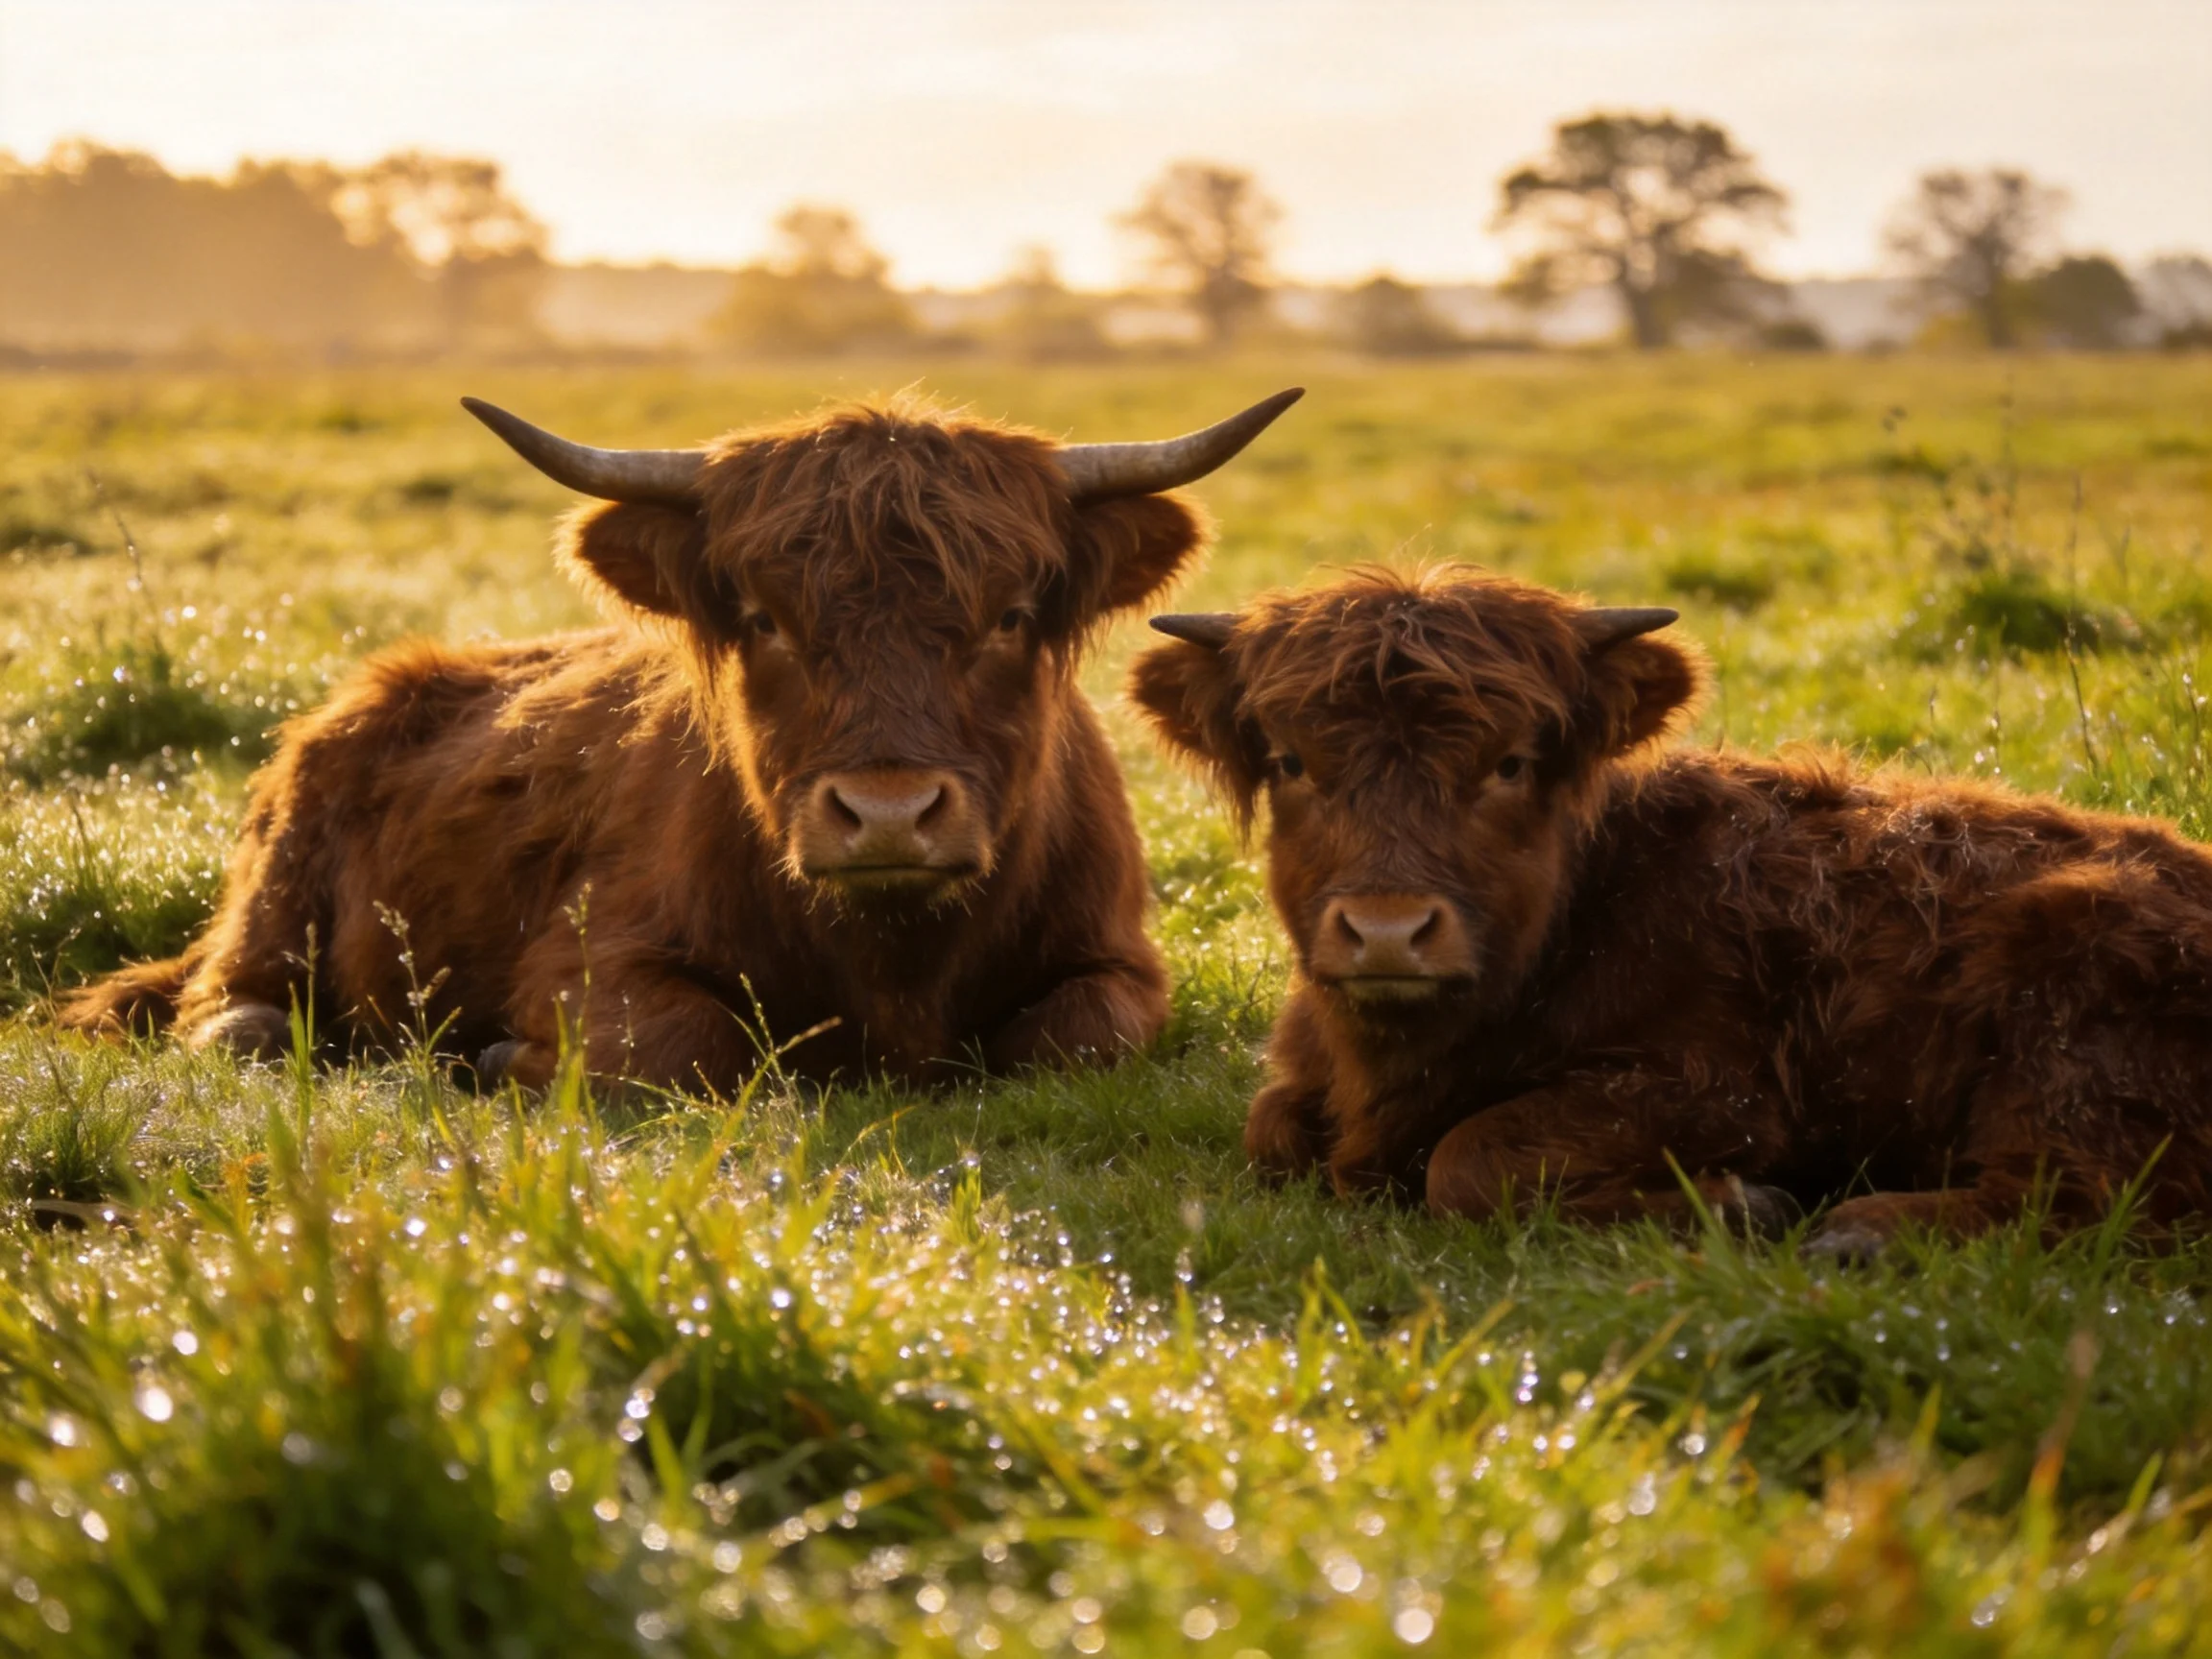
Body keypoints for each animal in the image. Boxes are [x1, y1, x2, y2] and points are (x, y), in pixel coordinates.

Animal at [59, 387, 1303, 1092]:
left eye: (1009, 615)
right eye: (763, 617)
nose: (886, 814)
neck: (895, 962)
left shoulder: (1119, 963)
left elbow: (1076, 1037)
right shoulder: (596, 958)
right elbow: (694, 1048)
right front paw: (504, 1060)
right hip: (271, 919)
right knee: (231, 1014)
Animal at [1131, 566, 2212, 1257]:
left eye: (1510, 764)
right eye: (1290, 761)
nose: (1388, 930)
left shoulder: (1714, 1092)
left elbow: (1467, 1158)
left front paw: (1747, 1205)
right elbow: (1269, 1130)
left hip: (2071, 987)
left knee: (2090, 1197)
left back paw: (1858, 1230)